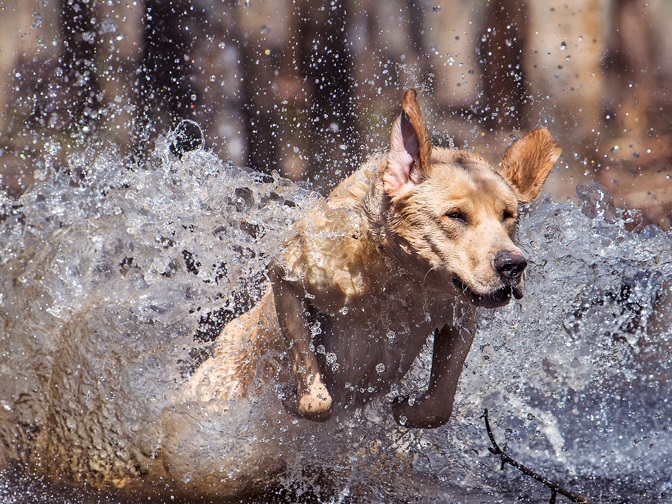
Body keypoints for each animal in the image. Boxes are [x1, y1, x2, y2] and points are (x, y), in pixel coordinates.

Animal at [185, 88, 560, 428]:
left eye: (508, 215)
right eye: (456, 215)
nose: (513, 265)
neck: (400, 281)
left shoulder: (461, 314)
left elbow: (440, 404)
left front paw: (408, 408)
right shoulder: (291, 275)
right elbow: (316, 395)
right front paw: (297, 397)